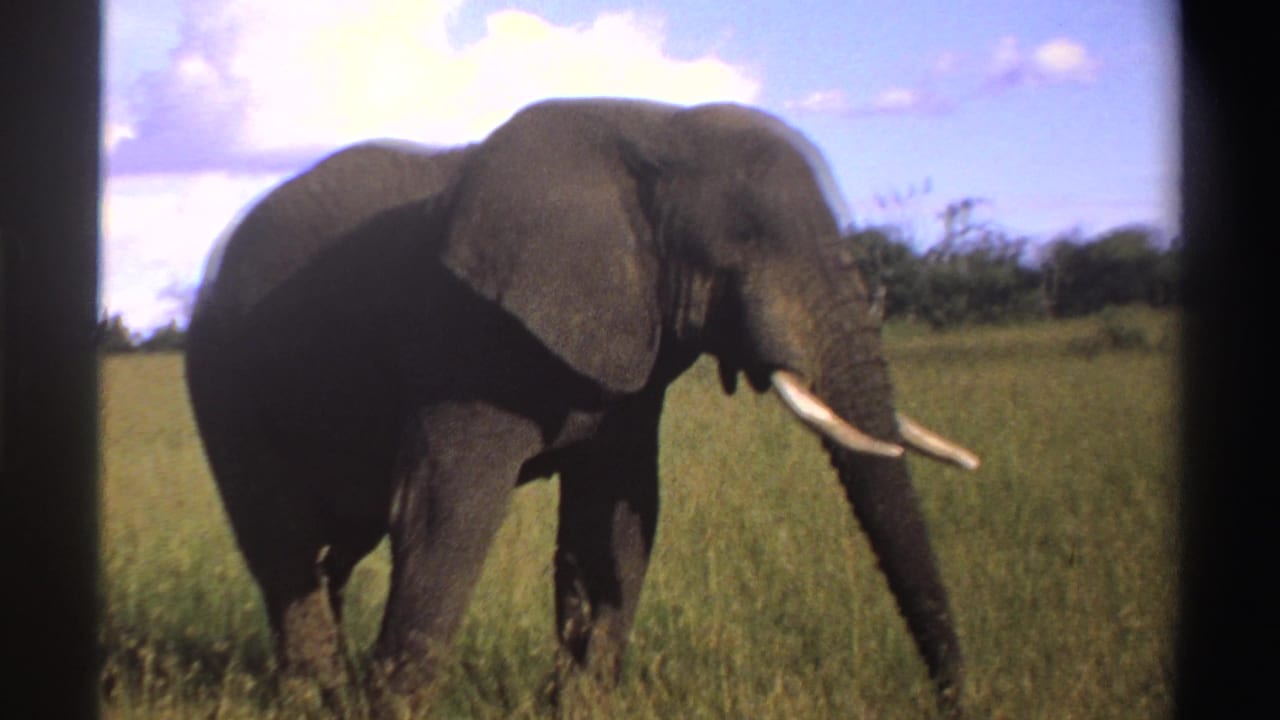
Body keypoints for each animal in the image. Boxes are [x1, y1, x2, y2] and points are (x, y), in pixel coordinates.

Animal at [185, 97, 980, 717]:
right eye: (748, 243)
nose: (954, 701)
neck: (657, 128)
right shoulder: (461, 339)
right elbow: (446, 511)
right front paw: (393, 709)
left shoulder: (629, 356)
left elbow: (618, 518)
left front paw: (584, 705)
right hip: (223, 381)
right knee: (285, 543)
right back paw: (313, 699)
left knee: (335, 550)